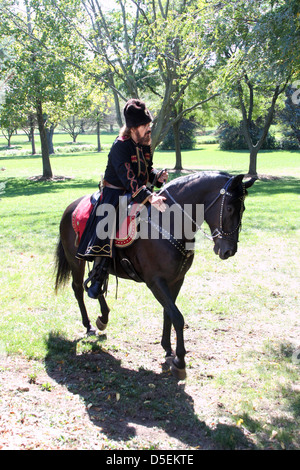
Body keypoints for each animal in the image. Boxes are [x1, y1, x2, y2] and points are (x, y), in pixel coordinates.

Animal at [54, 171, 255, 380]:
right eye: (230, 207)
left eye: (243, 208)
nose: (229, 251)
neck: (170, 222)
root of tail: (71, 207)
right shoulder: (155, 282)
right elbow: (178, 317)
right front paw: (179, 361)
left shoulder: (176, 280)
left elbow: (169, 313)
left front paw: (167, 349)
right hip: (76, 260)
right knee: (78, 289)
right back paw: (88, 325)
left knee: (97, 282)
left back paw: (103, 317)